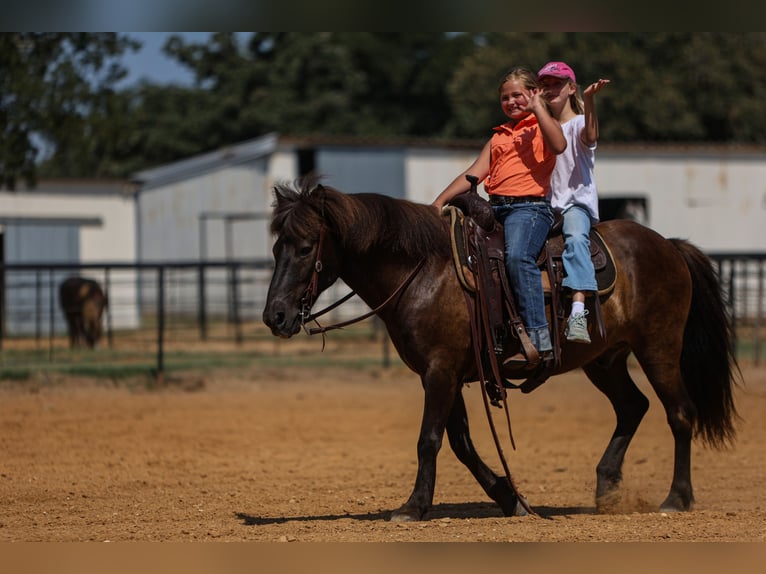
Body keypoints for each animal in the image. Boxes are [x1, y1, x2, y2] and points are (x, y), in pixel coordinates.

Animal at [260, 178, 740, 524]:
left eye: (305, 248)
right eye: (276, 247)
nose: (275, 316)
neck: (424, 270)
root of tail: (668, 245)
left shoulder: (440, 371)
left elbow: (429, 440)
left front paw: (413, 507)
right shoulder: (444, 372)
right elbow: (460, 442)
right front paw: (510, 498)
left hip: (659, 347)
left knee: (679, 413)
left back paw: (676, 498)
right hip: (604, 359)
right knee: (632, 406)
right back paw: (607, 489)